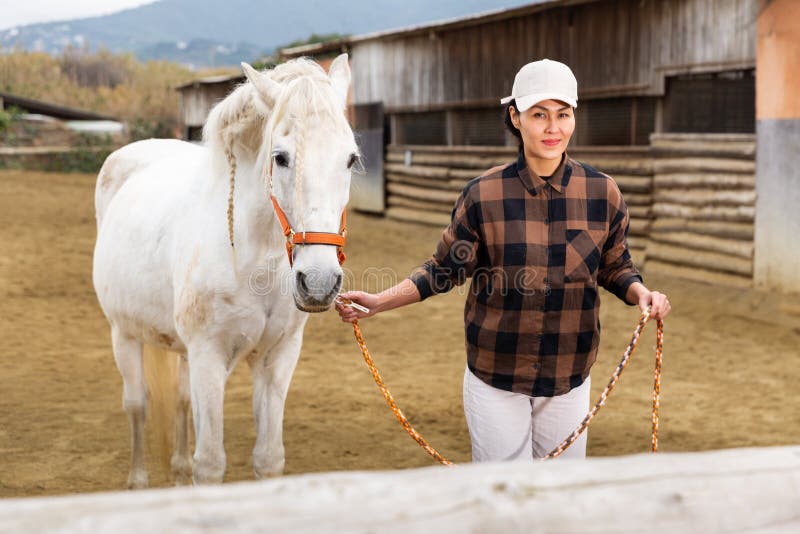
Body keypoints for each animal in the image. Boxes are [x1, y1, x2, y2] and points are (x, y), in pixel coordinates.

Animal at [92, 54, 358, 490]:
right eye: (280, 157)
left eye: (350, 159)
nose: (319, 283)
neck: (254, 261)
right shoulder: (209, 356)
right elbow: (211, 463)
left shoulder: (277, 358)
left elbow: (268, 458)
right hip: (124, 335)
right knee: (137, 405)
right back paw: (138, 481)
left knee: (180, 403)